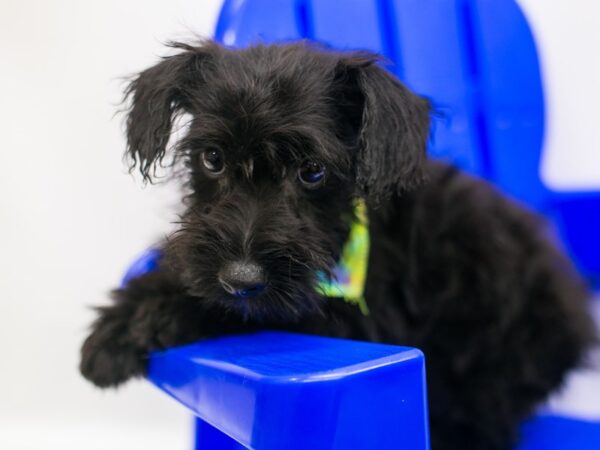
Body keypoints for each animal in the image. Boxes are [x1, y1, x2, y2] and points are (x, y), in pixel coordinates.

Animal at [79, 40, 596, 448]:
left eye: (312, 171)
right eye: (212, 159)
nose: (240, 278)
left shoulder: (347, 317)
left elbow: (253, 310)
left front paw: (151, 317)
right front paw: (119, 323)